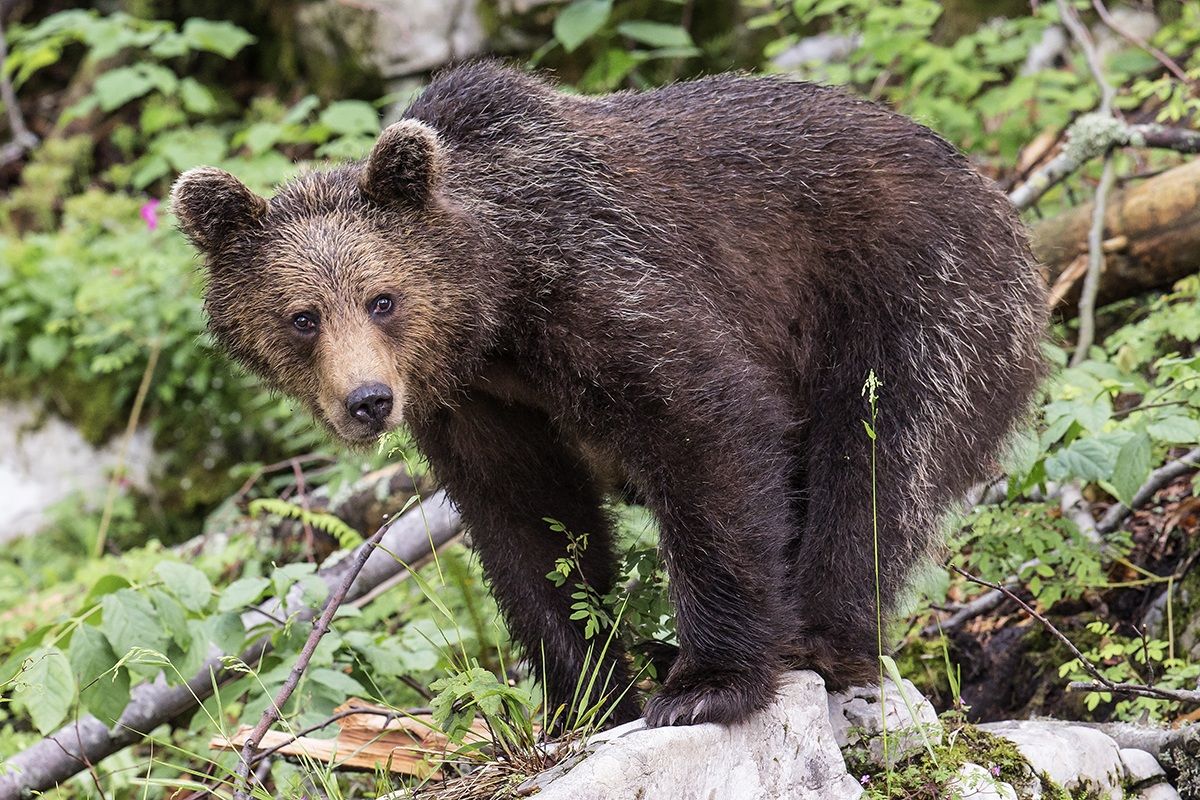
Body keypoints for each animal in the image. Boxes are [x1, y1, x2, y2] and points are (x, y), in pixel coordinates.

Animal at [171, 61, 1047, 728]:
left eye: (382, 298)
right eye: (302, 316)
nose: (368, 400)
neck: (496, 310)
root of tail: (997, 196)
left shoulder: (602, 285)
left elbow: (706, 429)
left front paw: (703, 685)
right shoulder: (478, 404)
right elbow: (529, 524)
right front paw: (586, 695)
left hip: (915, 296)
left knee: (875, 463)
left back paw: (824, 634)